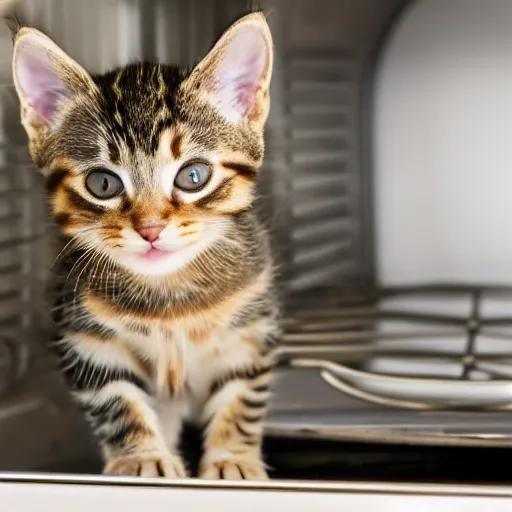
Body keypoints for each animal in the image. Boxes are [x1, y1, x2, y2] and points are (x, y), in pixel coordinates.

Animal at [9, 14, 280, 482]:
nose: (150, 229)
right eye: (103, 183)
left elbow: (242, 394)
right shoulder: (85, 338)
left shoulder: (250, 329)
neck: (167, 296)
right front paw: (141, 460)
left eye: (193, 175)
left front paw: (233, 460)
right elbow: (116, 401)